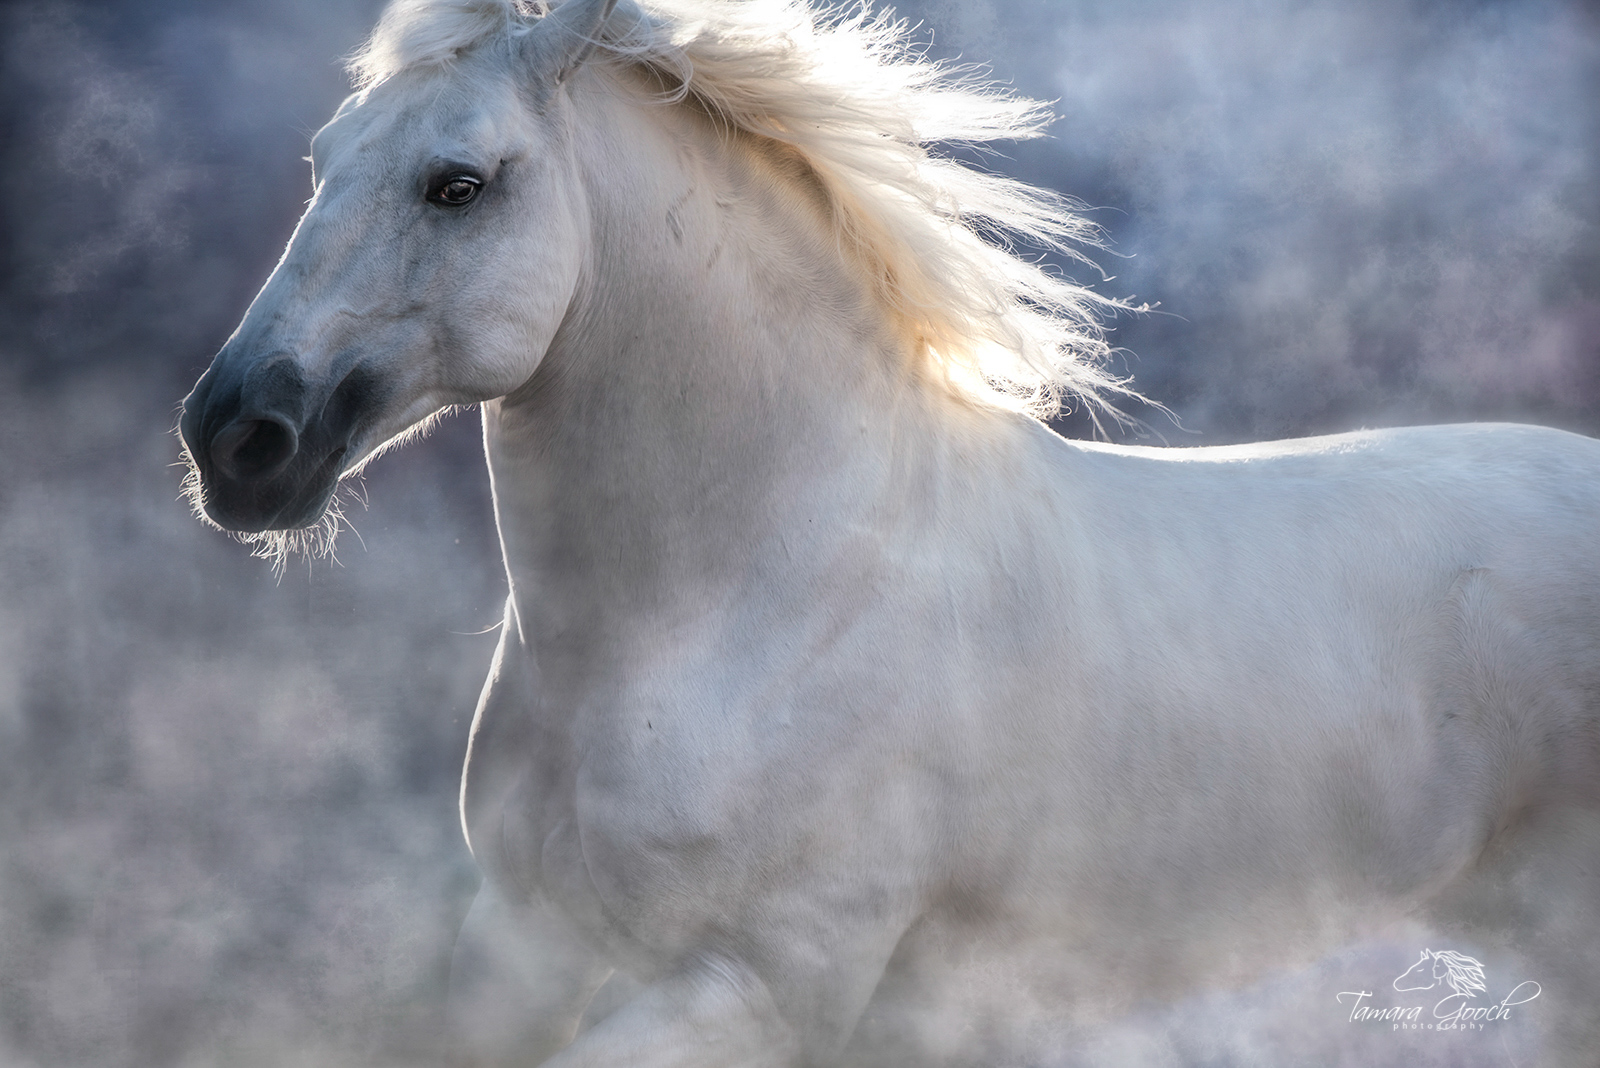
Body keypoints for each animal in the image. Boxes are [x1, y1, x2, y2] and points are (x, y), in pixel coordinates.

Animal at [181, 0, 1600, 1061]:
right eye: (323, 157)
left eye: (458, 184)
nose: (233, 438)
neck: (754, 601)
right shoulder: (519, 943)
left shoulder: (764, 987)